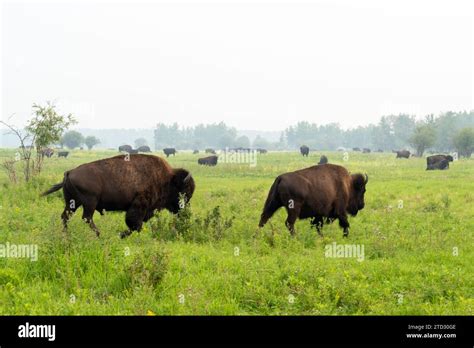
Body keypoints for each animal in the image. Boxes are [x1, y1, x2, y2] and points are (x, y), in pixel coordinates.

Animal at [41, 156, 194, 239]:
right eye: (184, 191)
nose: (185, 213)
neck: (167, 179)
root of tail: (69, 172)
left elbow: (136, 226)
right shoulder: (138, 207)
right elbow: (135, 225)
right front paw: (120, 235)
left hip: (72, 203)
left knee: (66, 216)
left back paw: (65, 235)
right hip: (89, 203)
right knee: (86, 218)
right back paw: (99, 234)